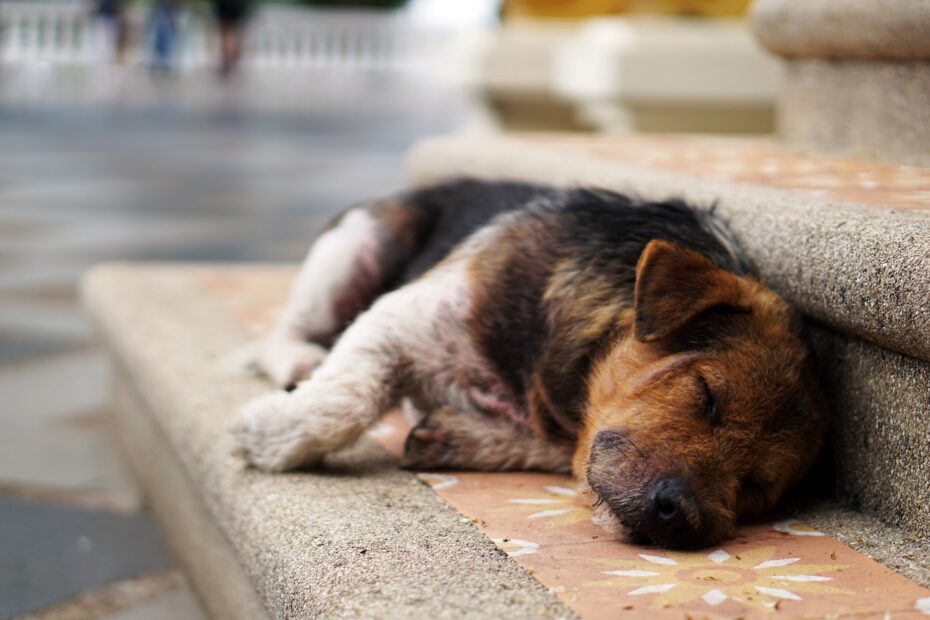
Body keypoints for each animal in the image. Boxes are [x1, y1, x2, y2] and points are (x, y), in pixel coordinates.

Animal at [234, 178, 828, 548]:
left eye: (757, 487)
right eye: (707, 395)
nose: (682, 518)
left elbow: (554, 449)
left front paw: (455, 435)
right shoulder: (404, 316)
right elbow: (347, 398)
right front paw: (271, 436)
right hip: (355, 245)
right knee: (281, 333)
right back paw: (298, 362)